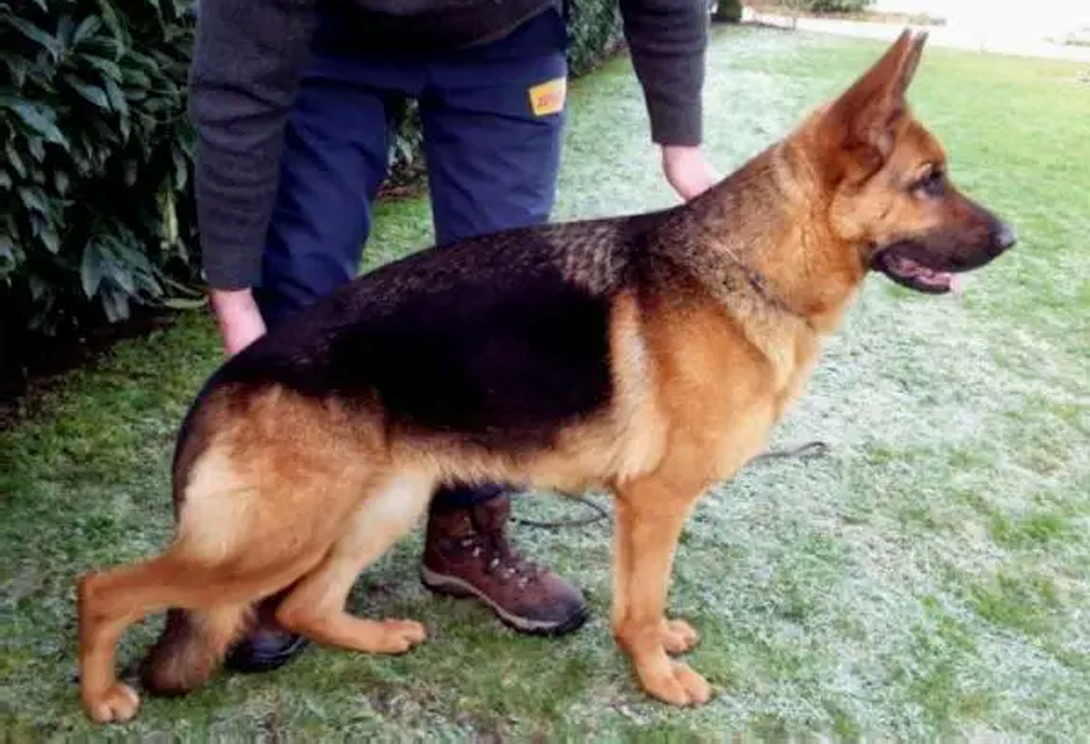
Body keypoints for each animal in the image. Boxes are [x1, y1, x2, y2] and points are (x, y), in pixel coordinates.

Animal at [76, 30, 1015, 722]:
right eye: (930, 181)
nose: (1011, 238)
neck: (749, 265)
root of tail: (230, 376)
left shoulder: (643, 510)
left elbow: (644, 602)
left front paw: (657, 651)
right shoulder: (654, 505)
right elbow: (639, 604)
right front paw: (657, 680)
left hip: (378, 507)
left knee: (302, 603)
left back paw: (375, 636)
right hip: (270, 539)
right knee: (107, 587)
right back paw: (102, 697)